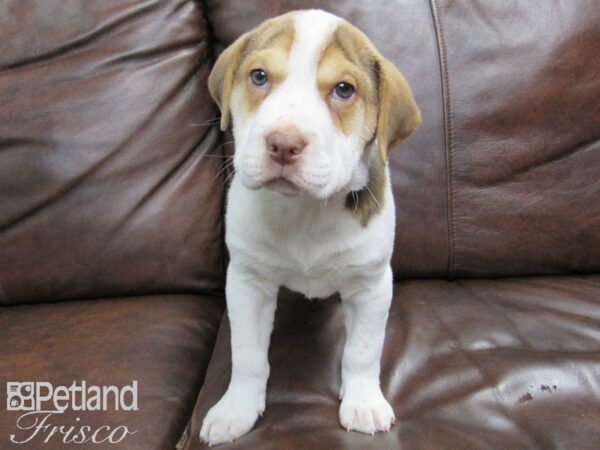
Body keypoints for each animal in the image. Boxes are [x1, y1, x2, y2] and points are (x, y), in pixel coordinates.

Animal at [199, 8, 420, 444]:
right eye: (259, 77)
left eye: (344, 89)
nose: (284, 143)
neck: (305, 210)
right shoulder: (247, 283)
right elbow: (247, 355)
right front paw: (237, 408)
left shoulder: (371, 285)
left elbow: (362, 351)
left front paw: (364, 403)